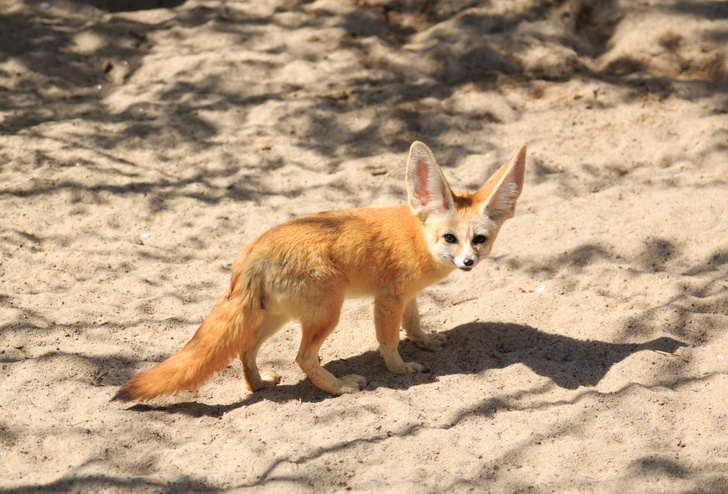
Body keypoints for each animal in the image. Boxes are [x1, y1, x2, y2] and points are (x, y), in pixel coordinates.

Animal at [112, 142, 524, 402]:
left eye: (480, 240)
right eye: (450, 238)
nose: (467, 262)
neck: (417, 237)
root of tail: (255, 250)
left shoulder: (405, 297)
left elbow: (414, 324)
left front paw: (425, 341)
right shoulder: (387, 300)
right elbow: (388, 342)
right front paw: (400, 369)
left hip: (276, 318)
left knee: (246, 350)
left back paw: (258, 385)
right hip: (327, 314)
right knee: (303, 359)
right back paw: (340, 387)